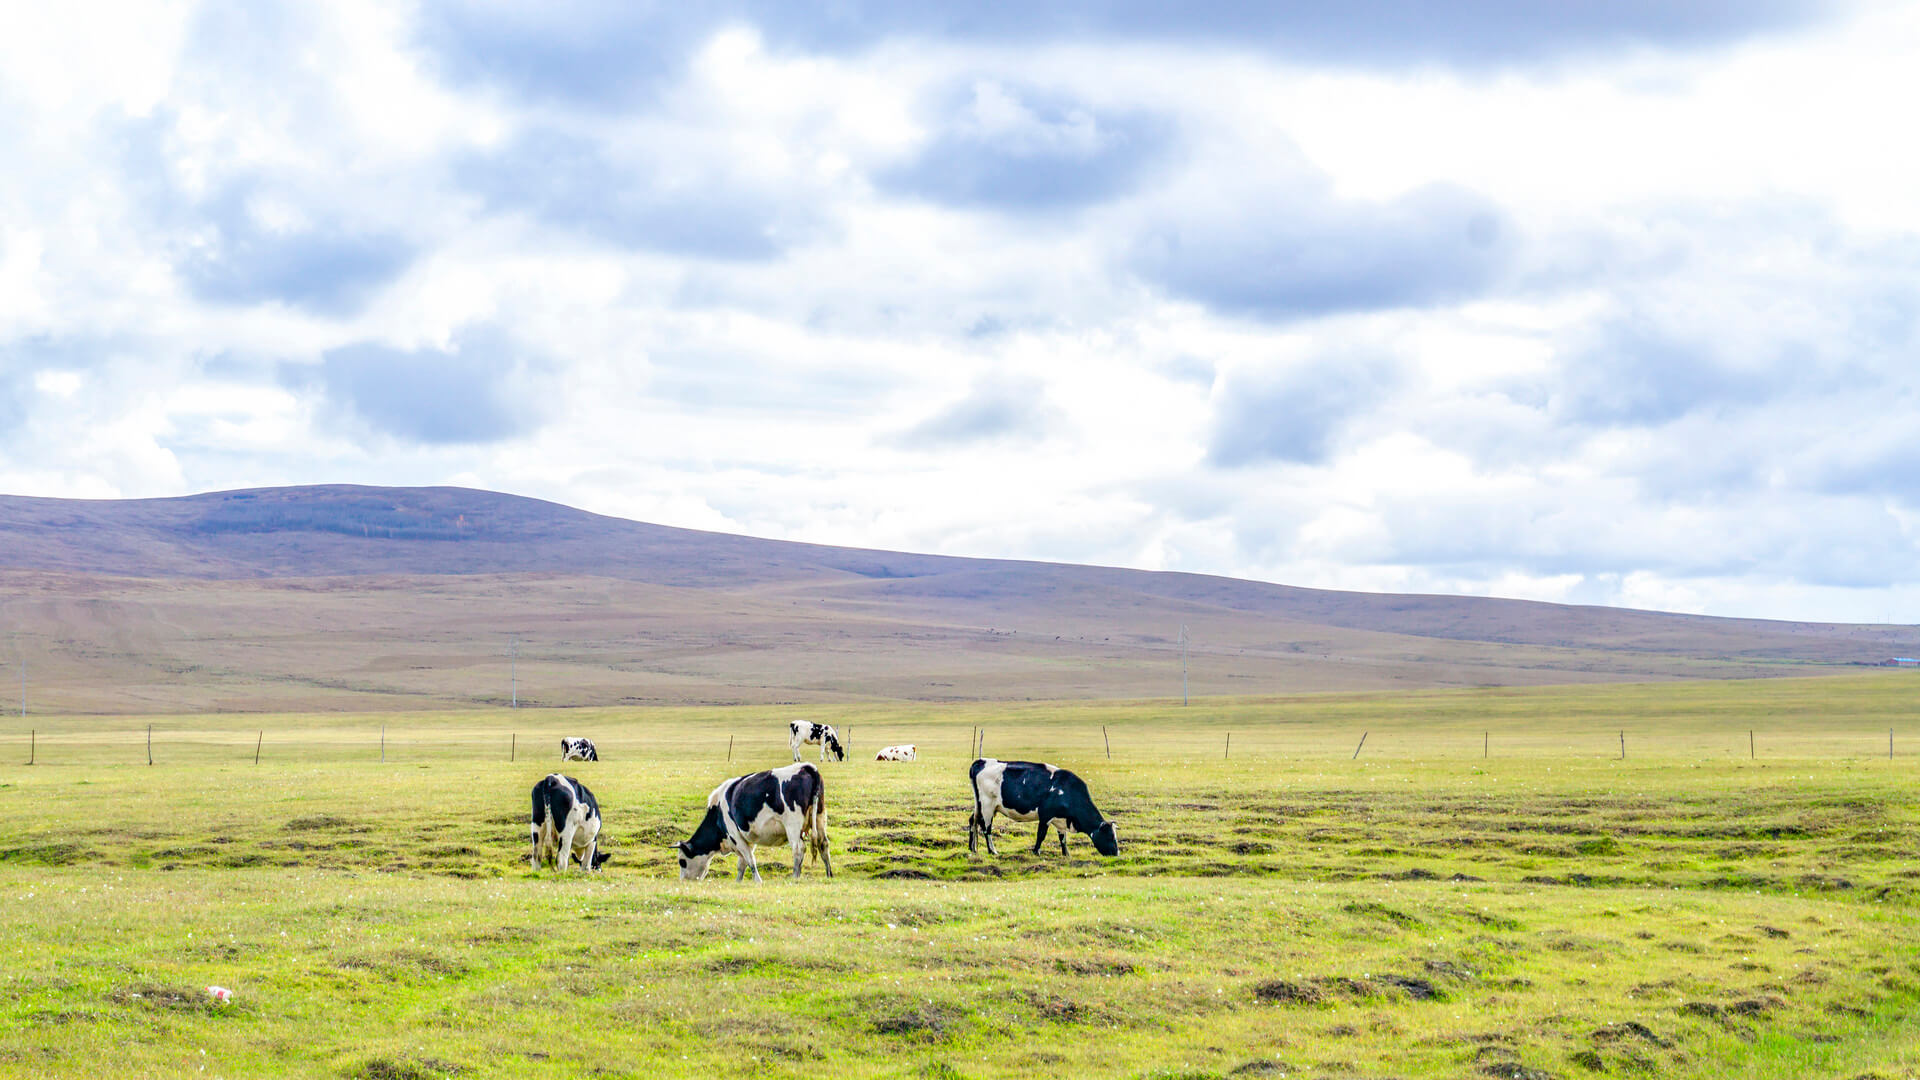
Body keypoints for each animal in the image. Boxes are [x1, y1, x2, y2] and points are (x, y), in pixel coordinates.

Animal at [675, 760, 833, 880]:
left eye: (682, 862)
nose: (683, 881)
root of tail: (806, 767)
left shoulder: (736, 836)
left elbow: (750, 860)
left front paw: (757, 881)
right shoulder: (748, 838)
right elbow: (742, 864)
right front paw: (738, 882)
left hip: (792, 825)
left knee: (798, 848)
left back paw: (795, 877)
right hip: (820, 816)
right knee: (824, 844)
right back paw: (829, 875)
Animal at [967, 757, 1121, 857]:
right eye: (1110, 836)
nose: (1116, 853)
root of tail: (982, 761)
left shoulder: (1060, 819)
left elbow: (1062, 837)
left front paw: (1066, 854)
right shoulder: (1045, 815)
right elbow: (1041, 835)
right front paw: (1036, 852)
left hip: (980, 805)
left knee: (973, 820)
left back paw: (972, 848)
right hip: (987, 805)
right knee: (986, 828)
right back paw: (992, 851)